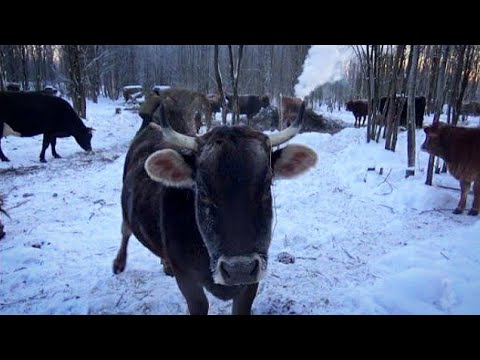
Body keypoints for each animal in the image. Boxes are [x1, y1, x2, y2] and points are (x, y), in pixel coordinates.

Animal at [113, 102, 318, 316]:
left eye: (266, 184)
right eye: (202, 191)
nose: (239, 269)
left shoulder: (255, 273)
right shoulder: (185, 276)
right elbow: (199, 304)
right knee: (125, 230)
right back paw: (119, 263)